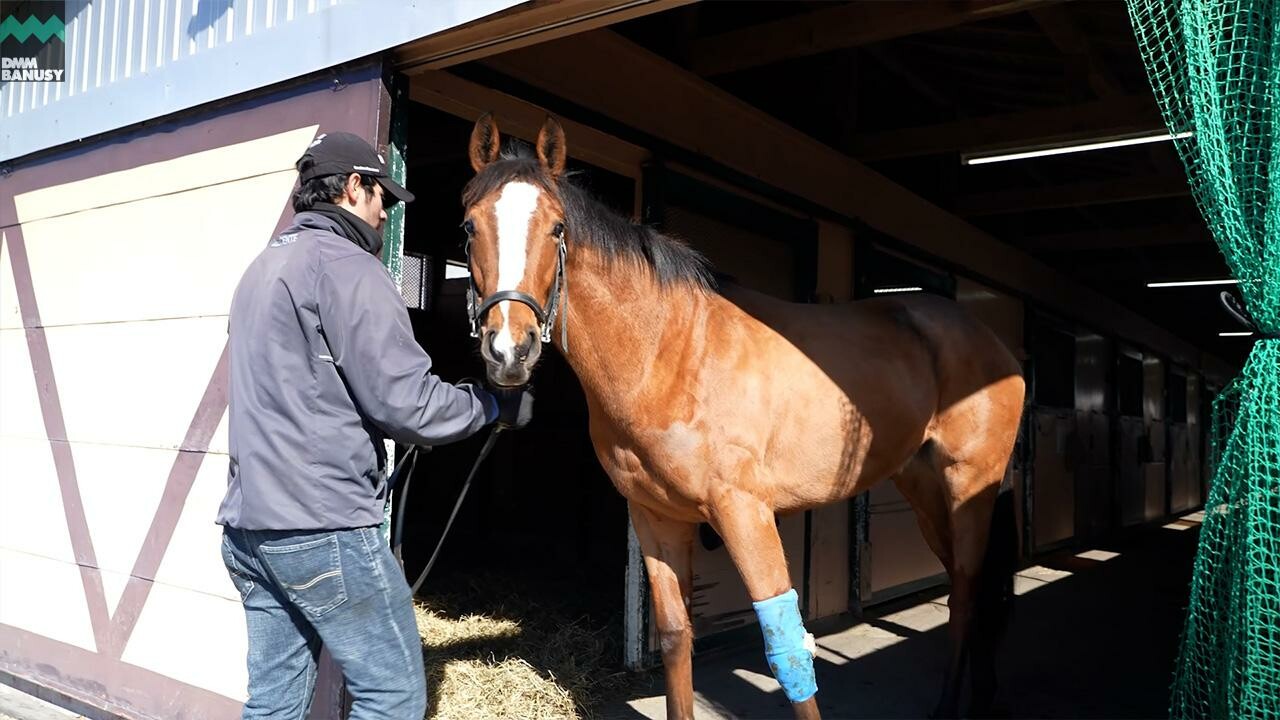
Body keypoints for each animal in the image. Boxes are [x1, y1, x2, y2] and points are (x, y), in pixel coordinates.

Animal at [460, 114, 1029, 712]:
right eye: (470, 228)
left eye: (556, 229)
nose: (509, 351)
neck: (670, 354)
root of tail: (998, 349)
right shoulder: (656, 518)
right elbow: (676, 640)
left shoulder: (745, 513)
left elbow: (788, 652)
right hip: (923, 489)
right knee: (970, 584)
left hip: (968, 486)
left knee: (966, 588)